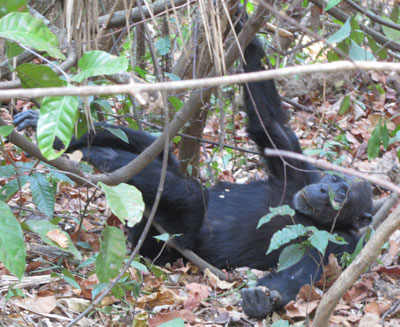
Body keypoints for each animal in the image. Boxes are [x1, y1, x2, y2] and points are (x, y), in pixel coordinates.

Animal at [14, 34, 374, 320]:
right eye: (332, 183)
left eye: (343, 197)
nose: (323, 191)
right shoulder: (298, 169)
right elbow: (269, 123)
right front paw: (249, 37)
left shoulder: (344, 245)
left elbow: (304, 271)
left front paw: (263, 301)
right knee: (161, 154)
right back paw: (69, 145)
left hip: (163, 243)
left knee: (190, 196)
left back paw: (104, 161)